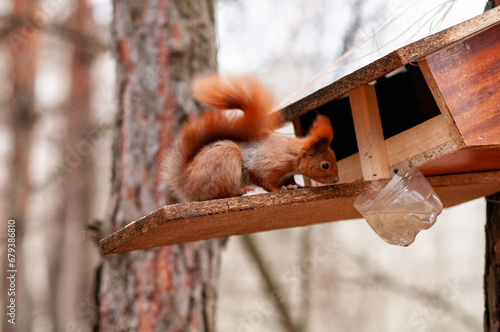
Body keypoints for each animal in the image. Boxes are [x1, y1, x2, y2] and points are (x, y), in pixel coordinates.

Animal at [164, 74, 340, 202]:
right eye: (325, 165)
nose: (336, 180)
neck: (293, 155)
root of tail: (186, 182)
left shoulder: (286, 173)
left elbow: (289, 180)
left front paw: (294, 186)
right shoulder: (268, 165)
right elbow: (264, 180)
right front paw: (280, 189)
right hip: (225, 160)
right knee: (221, 193)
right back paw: (240, 190)